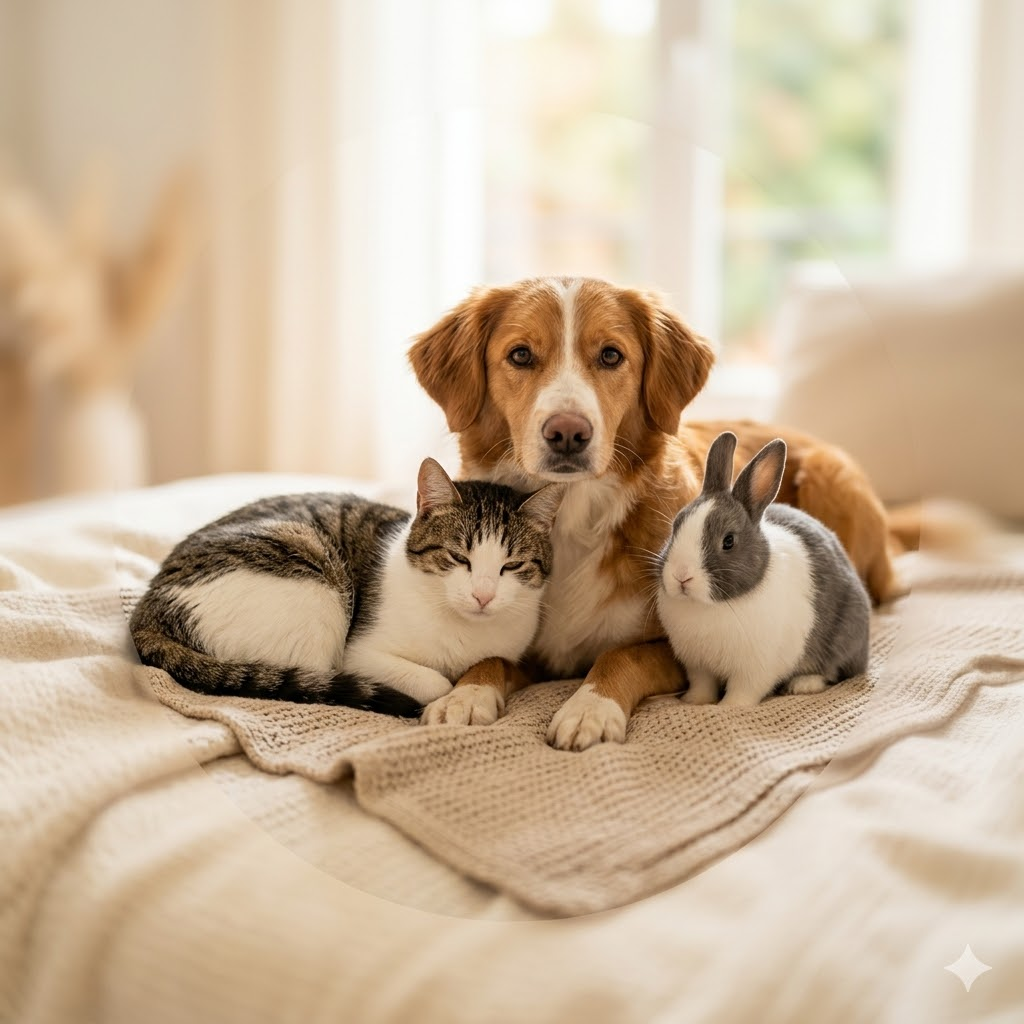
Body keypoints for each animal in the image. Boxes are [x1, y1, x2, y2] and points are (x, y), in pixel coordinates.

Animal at [656, 430, 870, 708]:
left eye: (728, 541)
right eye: (675, 526)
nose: (681, 576)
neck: (708, 607)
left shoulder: (755, 670)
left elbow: (742, 692)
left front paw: (729, 708)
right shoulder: (698, 665)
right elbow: (702, 685)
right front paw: (694, 702)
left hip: (844, 637)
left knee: (833, 670)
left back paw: (803, 684)